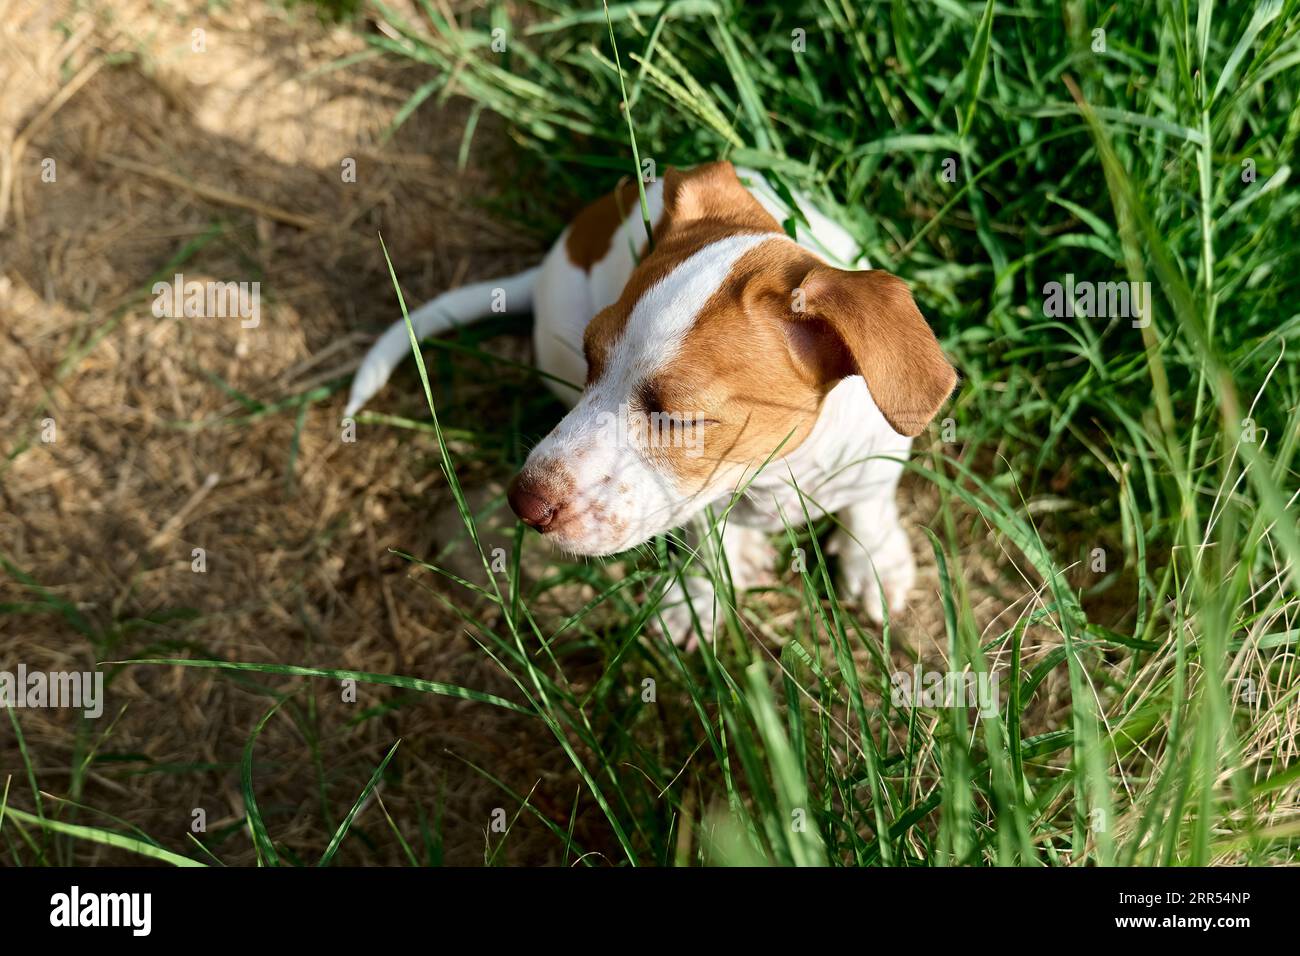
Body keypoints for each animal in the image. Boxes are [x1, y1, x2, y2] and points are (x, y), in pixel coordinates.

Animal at [345, 160, 956, 647]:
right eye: (591, 357)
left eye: (679, 416)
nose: (524, 504)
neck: (772, 475)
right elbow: (706, 536)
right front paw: (703, 594)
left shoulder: (875, 459)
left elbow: (869, 502)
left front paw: (875, 561)